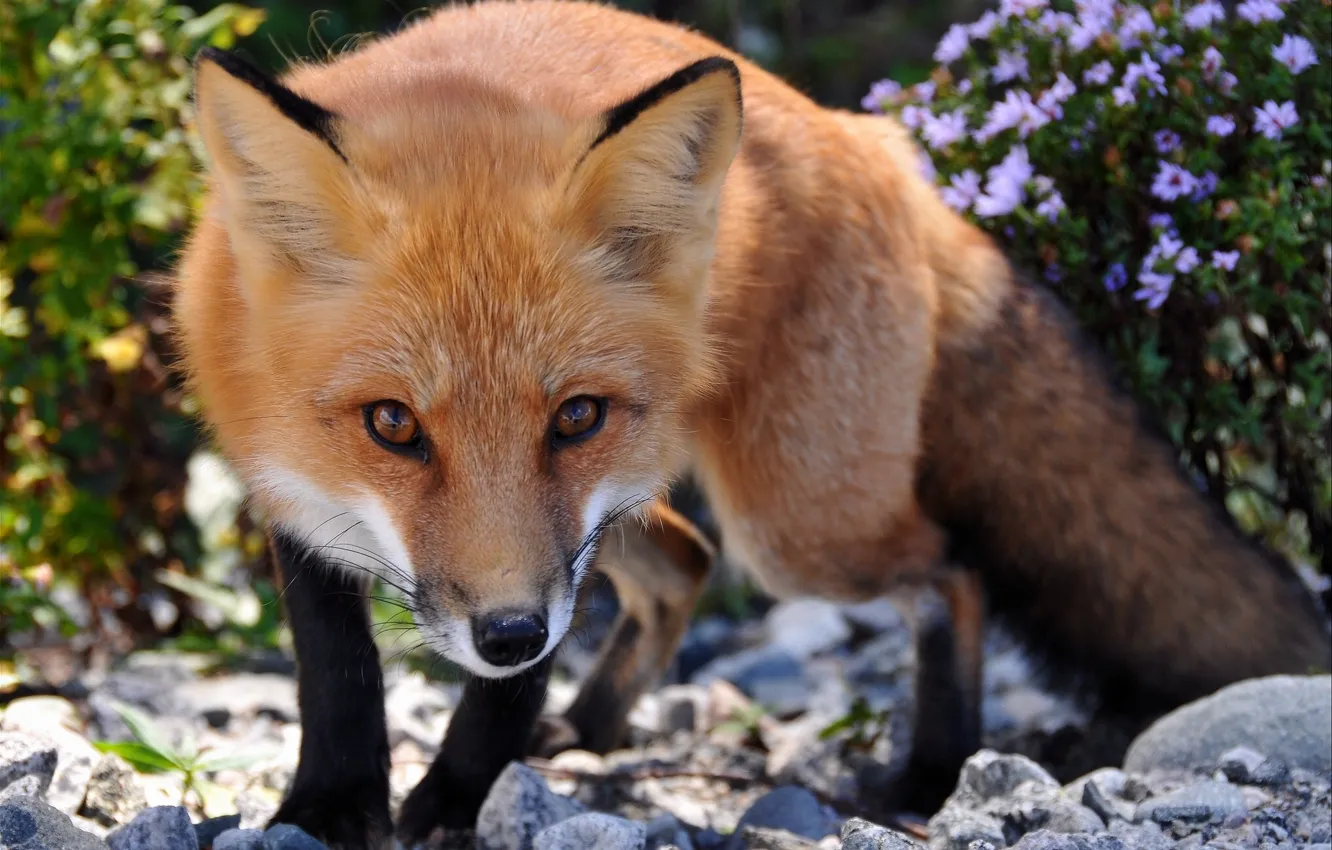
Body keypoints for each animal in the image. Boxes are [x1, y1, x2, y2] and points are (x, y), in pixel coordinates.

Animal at [169, 0, 1332, 846]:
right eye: (393, 426)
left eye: (574, 414)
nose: (505, 635)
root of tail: (880, 145)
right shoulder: (291, 485)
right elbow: (337, 670)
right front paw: (329, 806)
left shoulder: (556, 550)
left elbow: (497, 686)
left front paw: (457, 799)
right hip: (657, 510)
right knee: (686, 563)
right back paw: (592, 729)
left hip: (795, 523)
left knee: (951, 571)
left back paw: (929, 771)